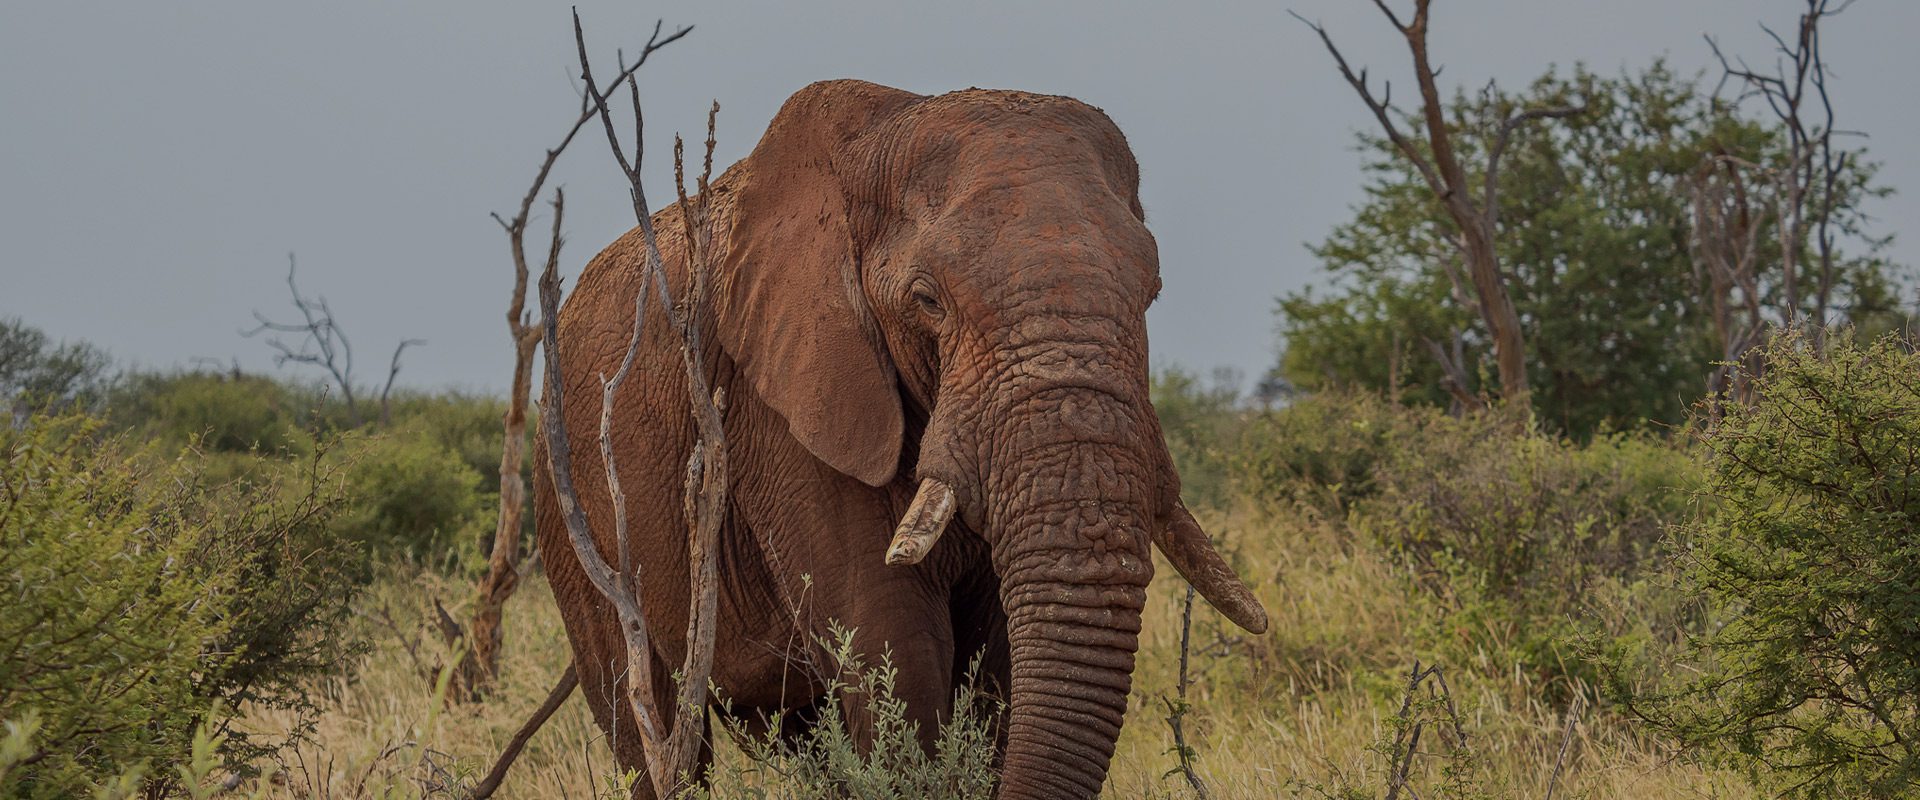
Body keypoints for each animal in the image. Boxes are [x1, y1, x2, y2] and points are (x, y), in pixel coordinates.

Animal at [533, 76, 1267, 798]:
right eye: (928, 300)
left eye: (1153, 292)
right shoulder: (779, 412)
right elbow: (895, 649)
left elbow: (994, 667)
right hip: (567, 509)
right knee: (646, 720)